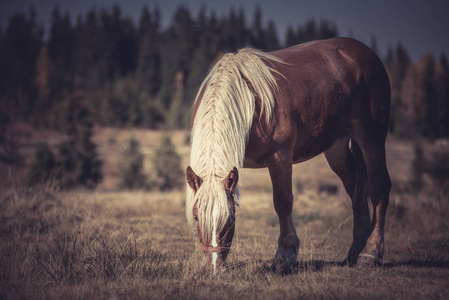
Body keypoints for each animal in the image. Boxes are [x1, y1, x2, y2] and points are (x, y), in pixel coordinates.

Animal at [184, 37, 390, 270]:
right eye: (196, 217)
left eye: (230, 217)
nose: (215, 266)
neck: (250, 102)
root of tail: (365, 52)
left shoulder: (280, 157)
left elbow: (282, 202)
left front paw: (285, 255)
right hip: (337, 149)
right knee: (356, 190)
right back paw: (354, 253)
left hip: (371, 138)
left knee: (378, 188)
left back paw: (370, 253)